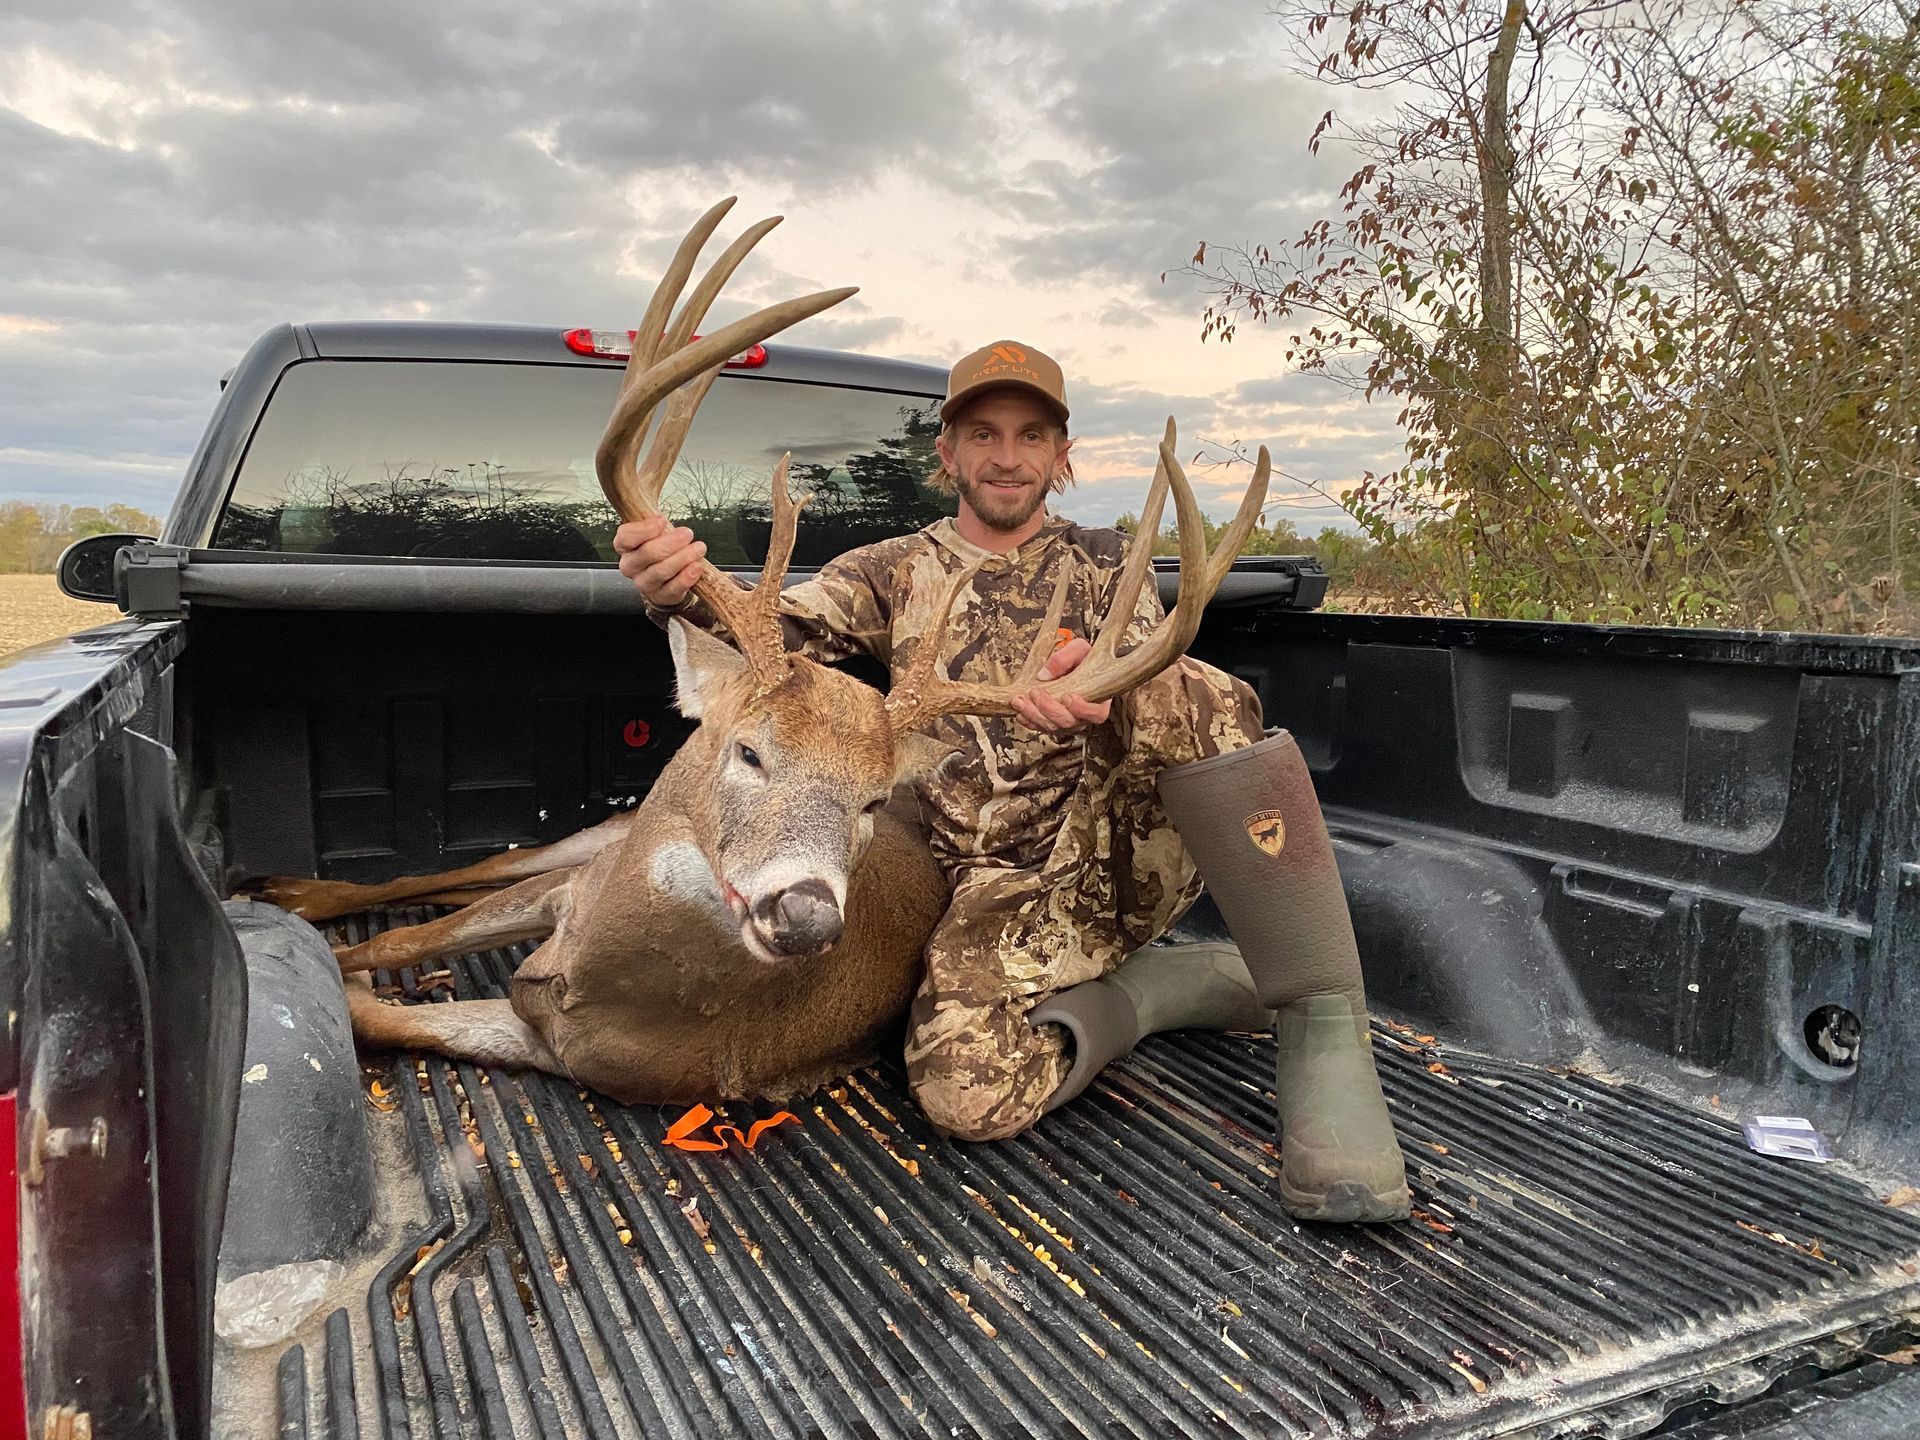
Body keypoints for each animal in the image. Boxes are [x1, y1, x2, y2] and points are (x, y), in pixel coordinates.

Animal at [245, 196, 1270, 1106]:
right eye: (748, 751)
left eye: (871, 801)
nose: (806, 916)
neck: (594, 970)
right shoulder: (563, 898)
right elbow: (396, 945)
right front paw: (313, 945)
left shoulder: (596, 1061)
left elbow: (372, 1014)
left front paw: (332, 977)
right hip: (589, 840)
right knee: (470, 867)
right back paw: (285, 885)